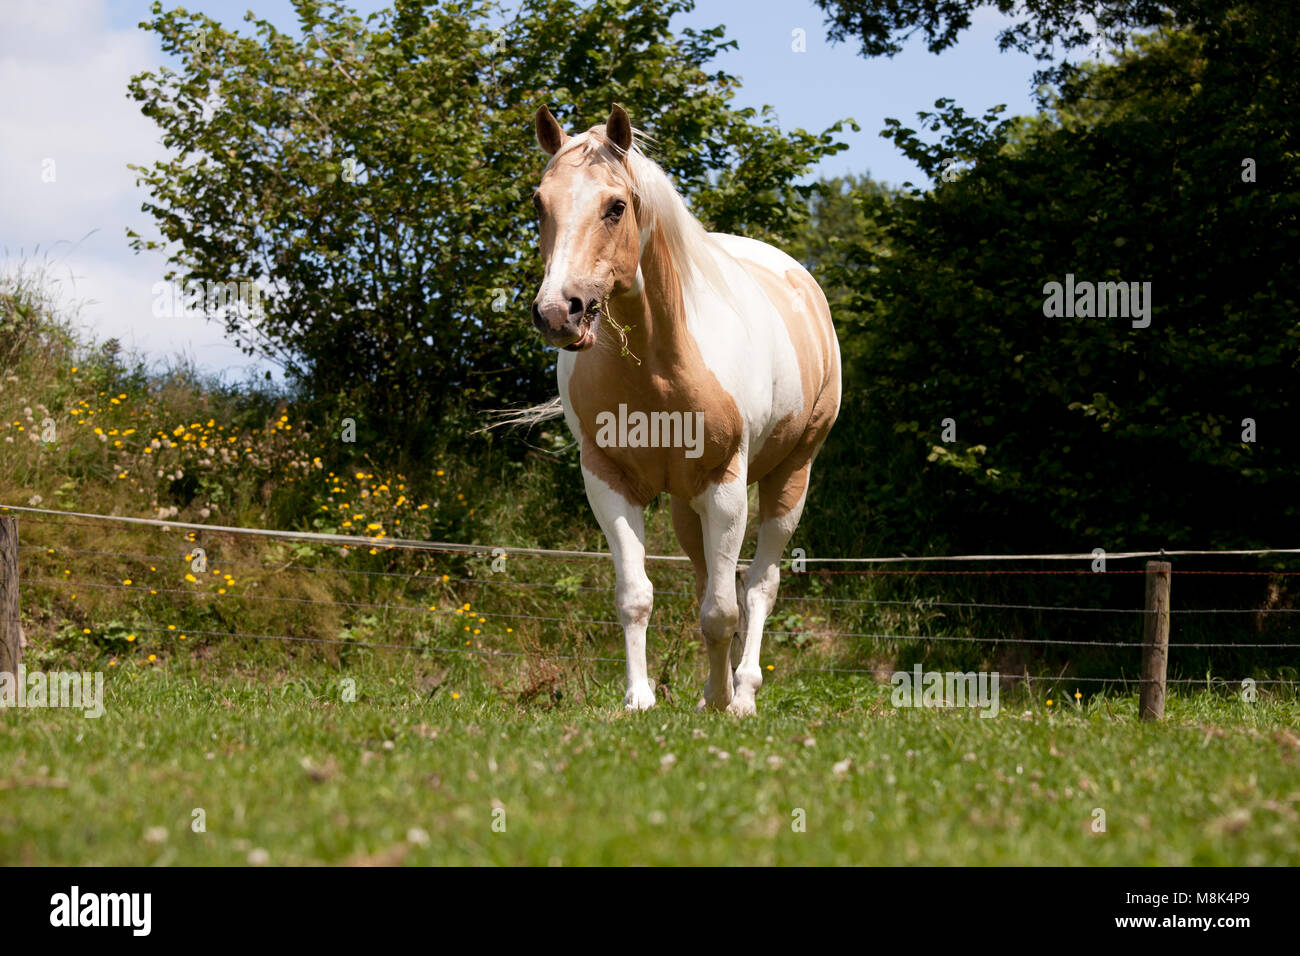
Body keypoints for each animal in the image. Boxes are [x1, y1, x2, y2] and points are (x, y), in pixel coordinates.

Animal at [527, 106, 842, 717]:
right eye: (539, 203)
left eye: (615, 206)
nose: (558, 312)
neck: (659, 360)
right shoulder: (609, 481)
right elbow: (637, 596)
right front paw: (639, 698)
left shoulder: (725, 484)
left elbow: (724, 609)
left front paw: (722, 699)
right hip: (684, 503)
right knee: (710, 581)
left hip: (790, 478)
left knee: (758, 586)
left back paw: (742, 693)